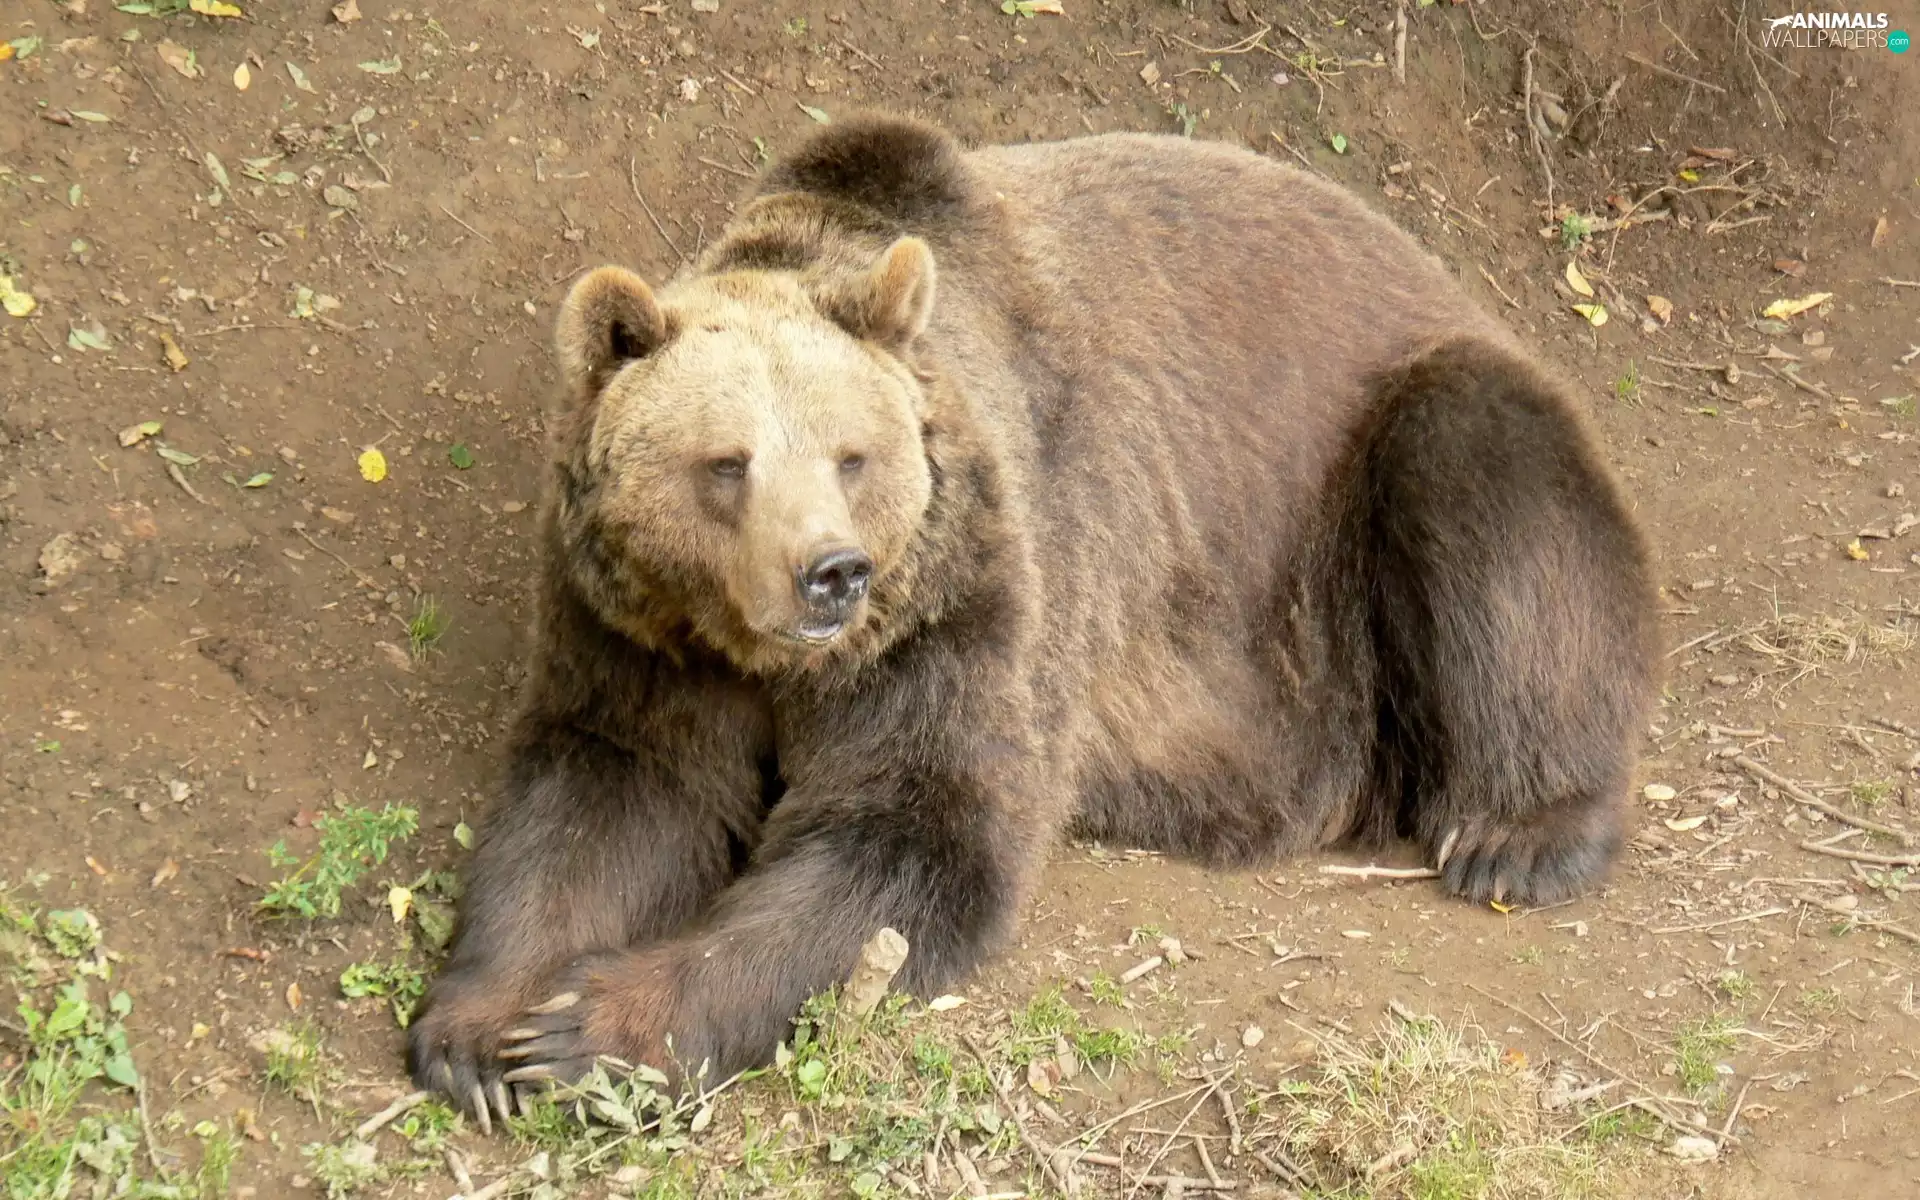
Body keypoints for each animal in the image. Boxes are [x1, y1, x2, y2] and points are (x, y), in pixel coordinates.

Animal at [406, 113, 1659, 1127]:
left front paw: (596, 1027)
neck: (766, 658)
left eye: (853, 455)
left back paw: (1517, 832)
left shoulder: (971, 600)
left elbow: (917, 836)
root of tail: (1452, 275)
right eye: (728, 462)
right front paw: (486, 1027)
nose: (832, 574)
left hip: (1351, 513)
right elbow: (611, 792)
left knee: (1481, 473)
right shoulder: (636, 633)